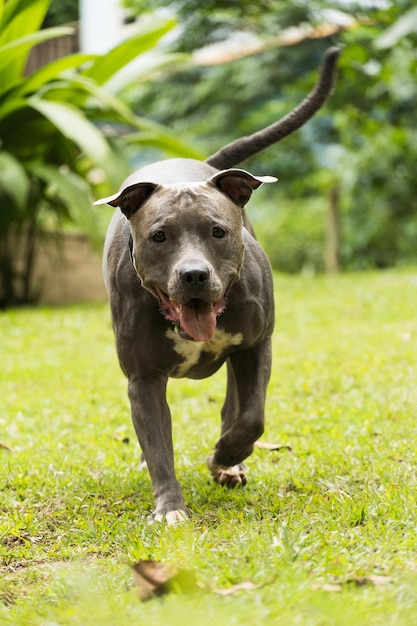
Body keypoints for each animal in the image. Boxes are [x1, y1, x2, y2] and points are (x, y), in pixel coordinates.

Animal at [94, 46, 338, 520]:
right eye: (159, 236)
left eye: (218, 231)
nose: (194, 274)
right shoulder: (143, 378)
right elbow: (158, 444)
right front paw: (170, 507)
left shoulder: (256, 346)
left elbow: (252, 417)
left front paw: (225, 455)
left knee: (234, 404)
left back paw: (229, 462)